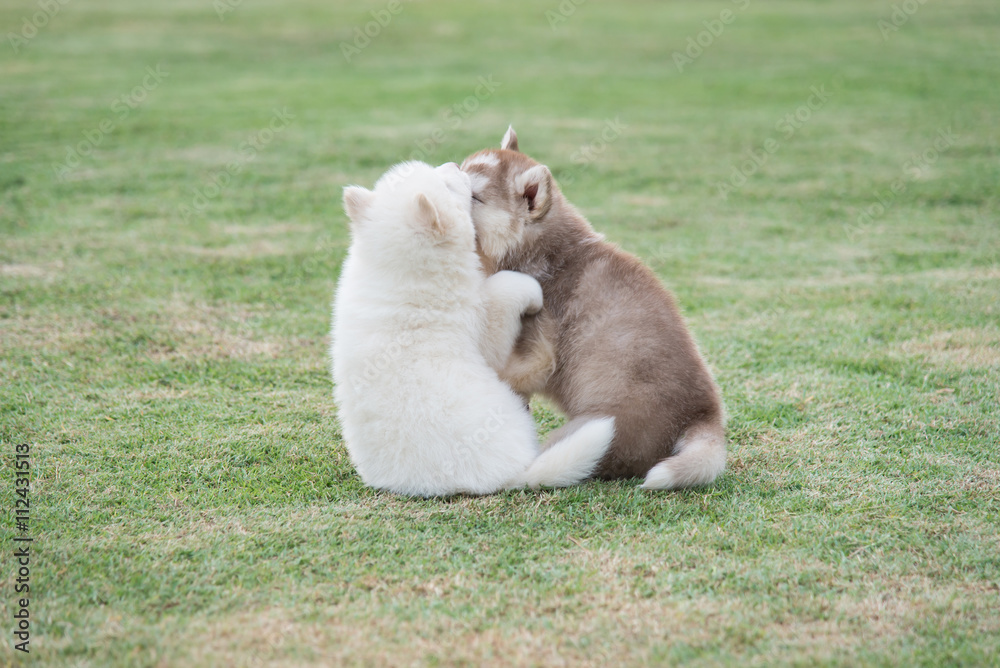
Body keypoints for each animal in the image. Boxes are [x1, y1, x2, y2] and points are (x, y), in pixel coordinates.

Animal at [332, 160, 612, 496]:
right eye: (448, 185)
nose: (454, 164)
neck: (395, 270)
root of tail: (510, 477)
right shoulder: (485, 328)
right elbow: (507, 286)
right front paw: (532, 294)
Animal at [460, 128, 728, 488]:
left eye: (474, 196)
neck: (544, 253)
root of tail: (703, 415)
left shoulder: (540, 350)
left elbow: (509, 371)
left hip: (593, 429)